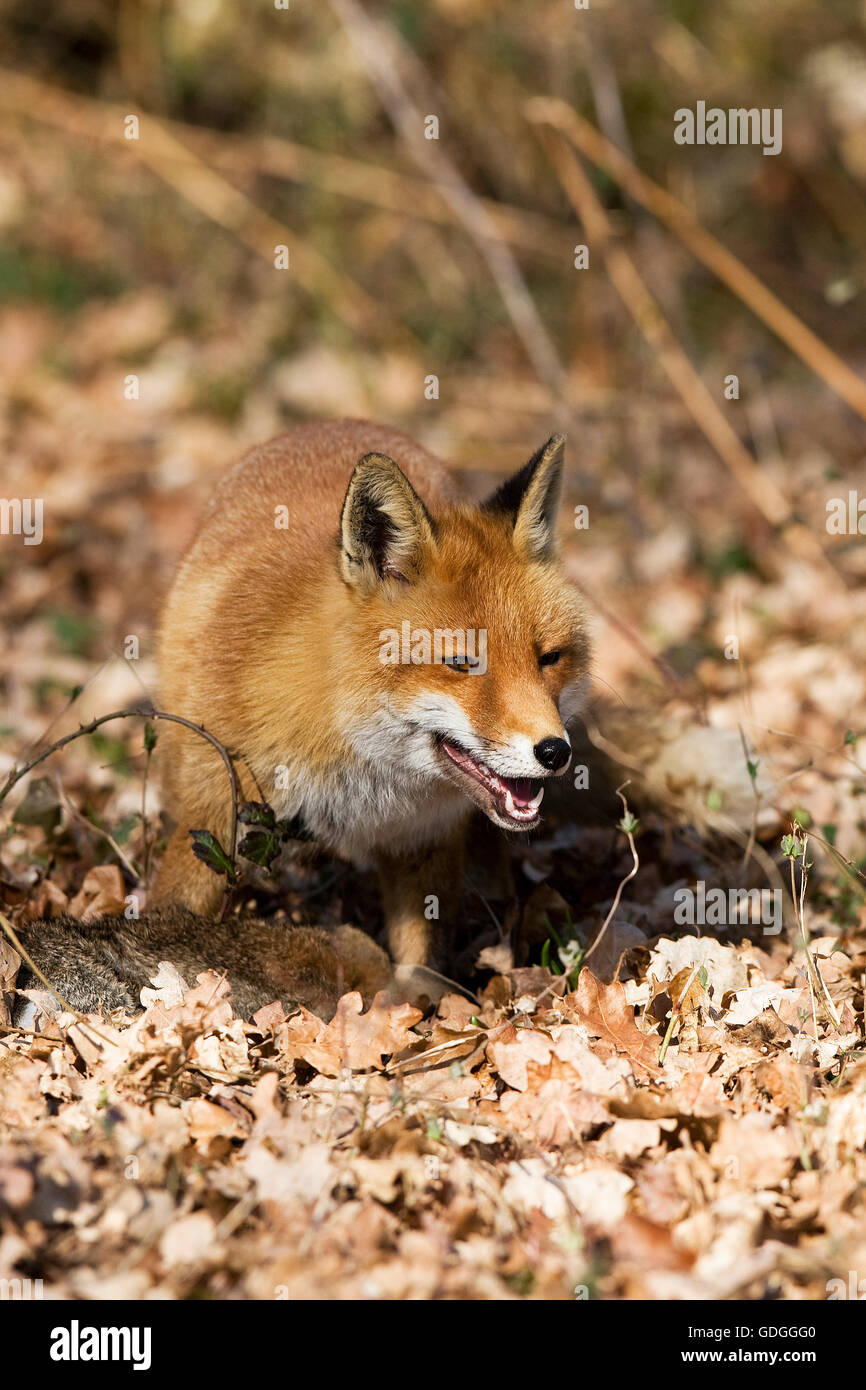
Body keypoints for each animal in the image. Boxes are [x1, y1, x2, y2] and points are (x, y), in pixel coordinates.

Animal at [152, 419, 590, 970]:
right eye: (461, 663)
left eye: (548, 658)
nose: (555, 752)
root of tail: (330, 424)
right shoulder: (210, 819)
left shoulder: (424, 844)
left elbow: (420, 964)